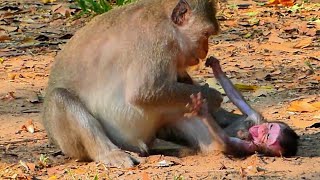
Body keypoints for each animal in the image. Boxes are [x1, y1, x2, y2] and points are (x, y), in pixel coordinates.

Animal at [42, 0, 222, 167]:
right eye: (206, 34)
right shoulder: (156, 42)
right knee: (60, 97)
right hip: (70, 141)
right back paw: (109, 153)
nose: (205, 50)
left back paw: (219, 143)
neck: (169, 24)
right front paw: (214, 97)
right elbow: (145, 92)